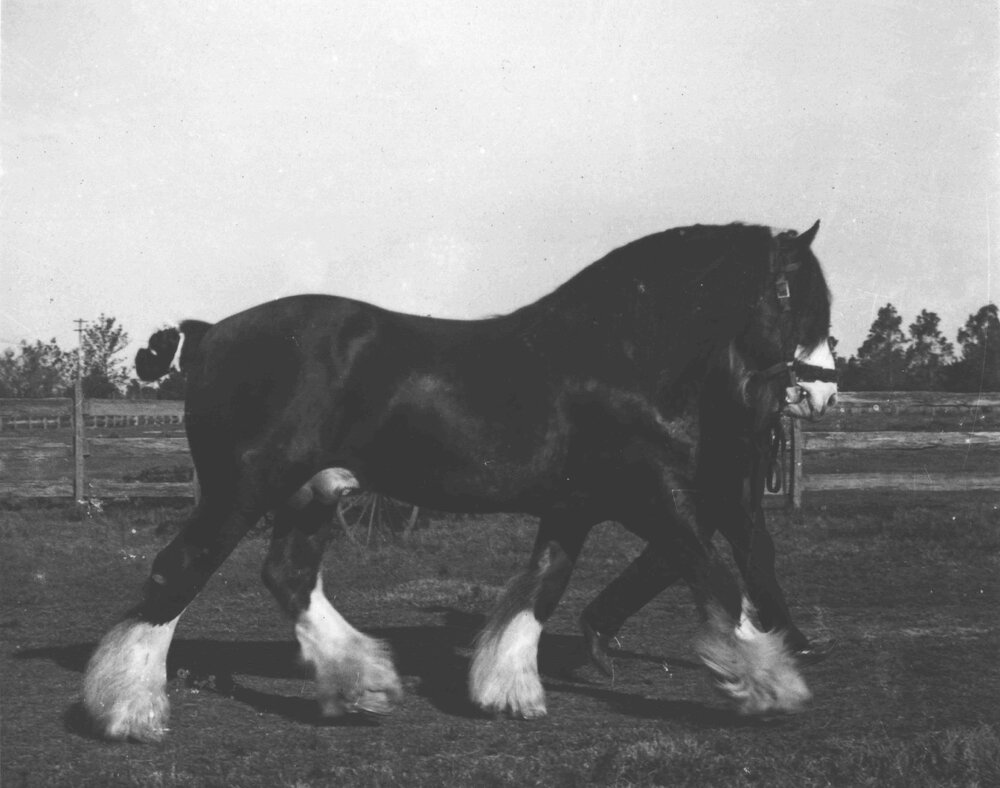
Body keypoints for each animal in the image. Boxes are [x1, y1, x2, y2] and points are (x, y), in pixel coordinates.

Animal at [82, 221, 837, 741]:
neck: (615, 354)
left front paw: (507, 690)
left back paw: (364, 683)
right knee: (180, 570)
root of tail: (209, 334)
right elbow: (716, 576)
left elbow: (542, 588)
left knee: (287, 575)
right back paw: (128, 712)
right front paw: (772, 683)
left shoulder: (574, 507)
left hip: (313, 492)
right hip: (243, 490)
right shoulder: (652, 495)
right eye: (788, 291)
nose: (821, 393)